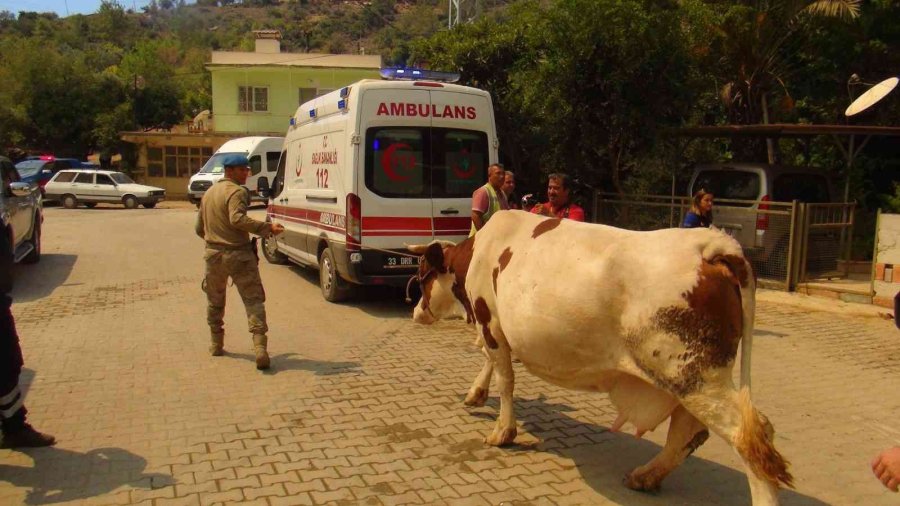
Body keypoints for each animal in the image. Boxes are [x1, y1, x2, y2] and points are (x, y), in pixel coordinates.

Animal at [412, 211, 792, 506]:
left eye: (421, 276)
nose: (416, 312)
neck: (483, 249)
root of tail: (710, 244)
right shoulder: (495, 328)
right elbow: (491, 363)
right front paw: (476, 393)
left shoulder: (490, 321)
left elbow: (505, 377)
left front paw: (503, 431)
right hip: (691, 379)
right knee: (689, 432)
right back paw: (646, 475)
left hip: (693, 375)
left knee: (750, 436)